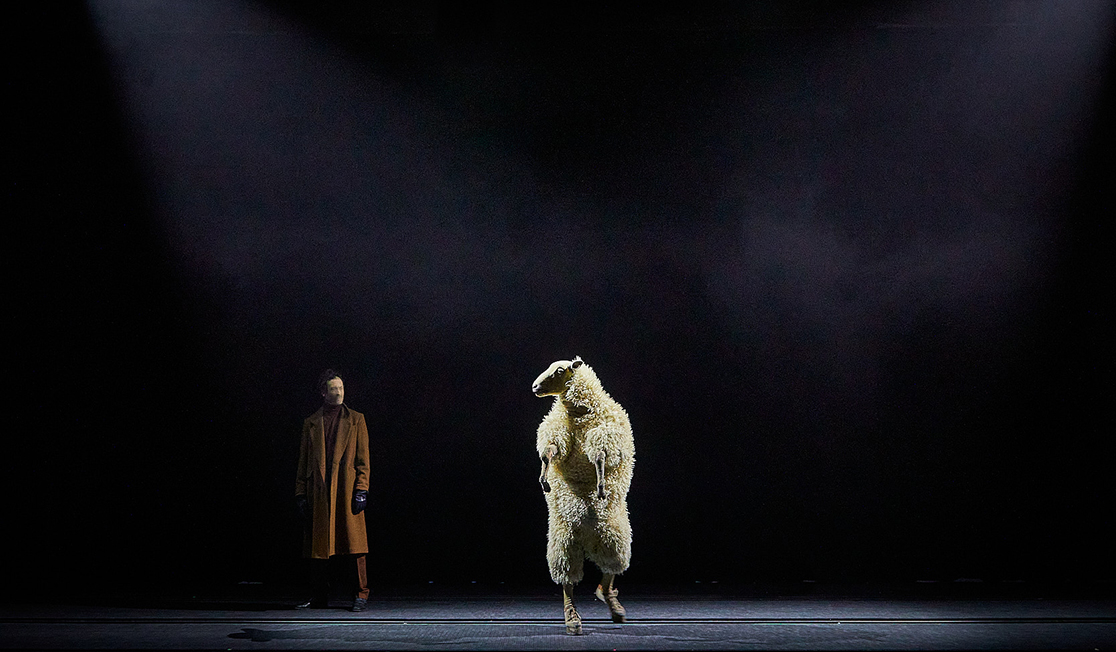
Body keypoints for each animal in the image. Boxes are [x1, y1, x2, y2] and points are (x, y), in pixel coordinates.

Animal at [533, 356, 635, 635]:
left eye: (559, 370)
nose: (535, 386)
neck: (579, 414)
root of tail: (588, 535)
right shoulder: (557, 430)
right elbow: (551, 451)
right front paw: (544, 475)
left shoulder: (606, 433)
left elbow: (600, 456)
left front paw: (600, 484)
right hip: (564, 533)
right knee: (567, 572)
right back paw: (572, 618)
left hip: (612, 530)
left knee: (611, 564)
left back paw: (609, 600)